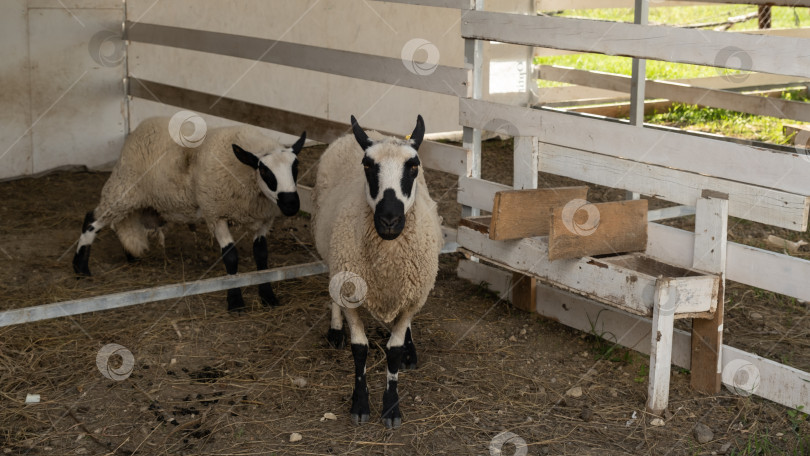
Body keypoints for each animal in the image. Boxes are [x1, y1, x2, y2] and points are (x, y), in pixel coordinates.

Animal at [72, 116, 304, 312]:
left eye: (296, 167)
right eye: (264, 171)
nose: (292, 204)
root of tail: (142, 126)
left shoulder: (264, 218)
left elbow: (262, 256)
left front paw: (268, 296)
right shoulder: (215, 214)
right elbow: (231, 257)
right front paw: (235, 302)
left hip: (134, 200)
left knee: (123, 224)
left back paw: (130, 255)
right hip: (123, 189)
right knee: (92, 220)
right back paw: (80, 267)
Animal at [314, 114, 442, 428]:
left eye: (413, 165)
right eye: (367, 165)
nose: (389, 219)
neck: (387, 264)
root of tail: (369, 132)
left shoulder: (412, 295)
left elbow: (393, 350)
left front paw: (391, 408)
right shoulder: (349, 290)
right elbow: (359, 349)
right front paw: (360, 405)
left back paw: (410, 348)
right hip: (332, 258)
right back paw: (335, 331)